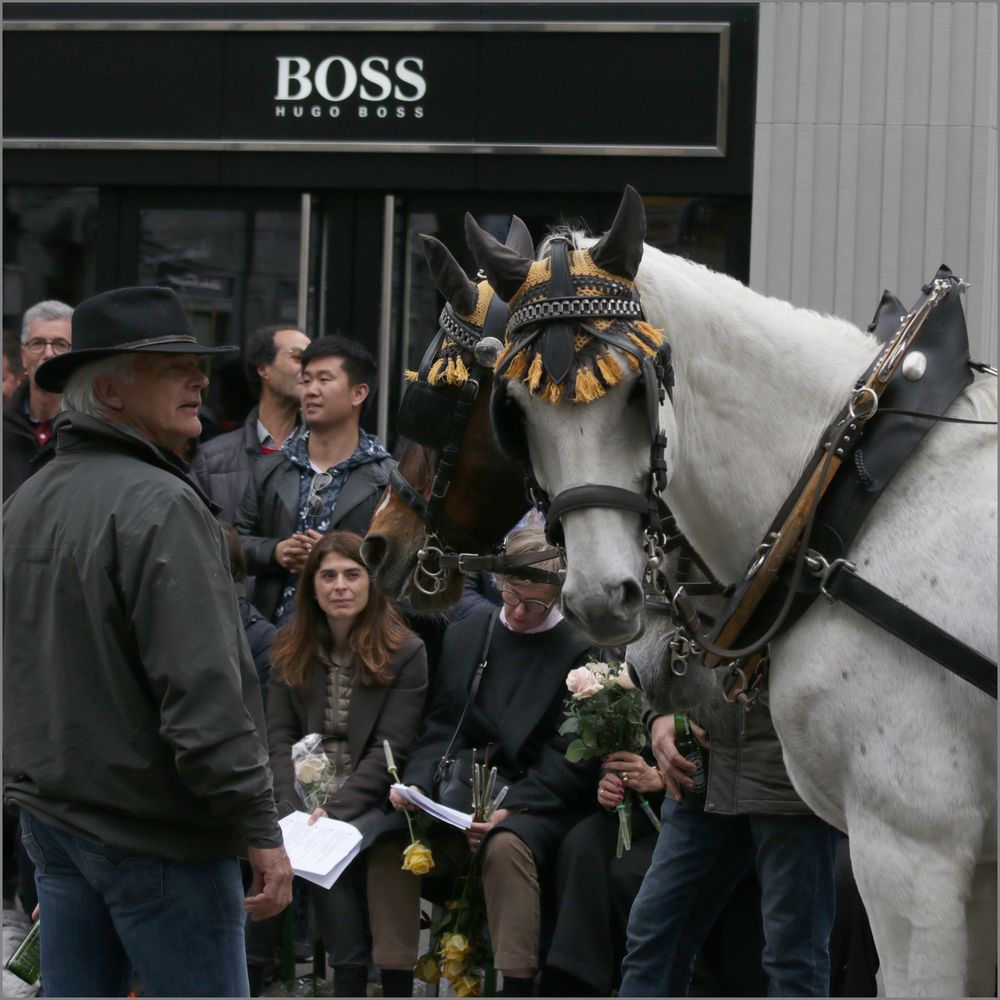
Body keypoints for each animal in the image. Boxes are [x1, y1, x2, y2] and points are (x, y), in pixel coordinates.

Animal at [468, 189, 1000, 1000]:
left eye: (637, 391)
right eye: (516, 411)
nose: (601, 599)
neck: (851, 491)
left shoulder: (914, 844)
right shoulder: (976, 864)